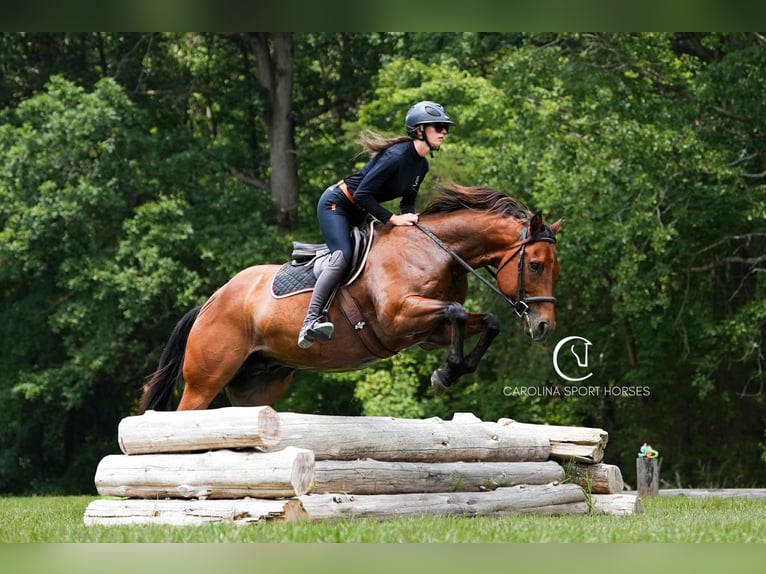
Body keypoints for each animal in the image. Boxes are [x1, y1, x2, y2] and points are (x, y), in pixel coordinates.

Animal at [139, 183, 562, 412]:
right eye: (536, 265)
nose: (544, 326)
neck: (438, 251)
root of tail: (210, 303)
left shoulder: (429, 332)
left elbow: (485, 321)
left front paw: (452, 371)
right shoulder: (398, 319)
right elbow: (457, 311)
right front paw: (447, 373)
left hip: (258, 386)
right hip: (204, 380)